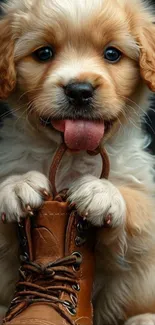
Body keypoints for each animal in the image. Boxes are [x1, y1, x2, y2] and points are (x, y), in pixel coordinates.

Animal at [0, 0, 155, 322]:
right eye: (44, 53)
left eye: (112, 54)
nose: (79, 91)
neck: (72, 156)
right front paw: (18, 185)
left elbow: (139, 205)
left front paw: (101, 191)